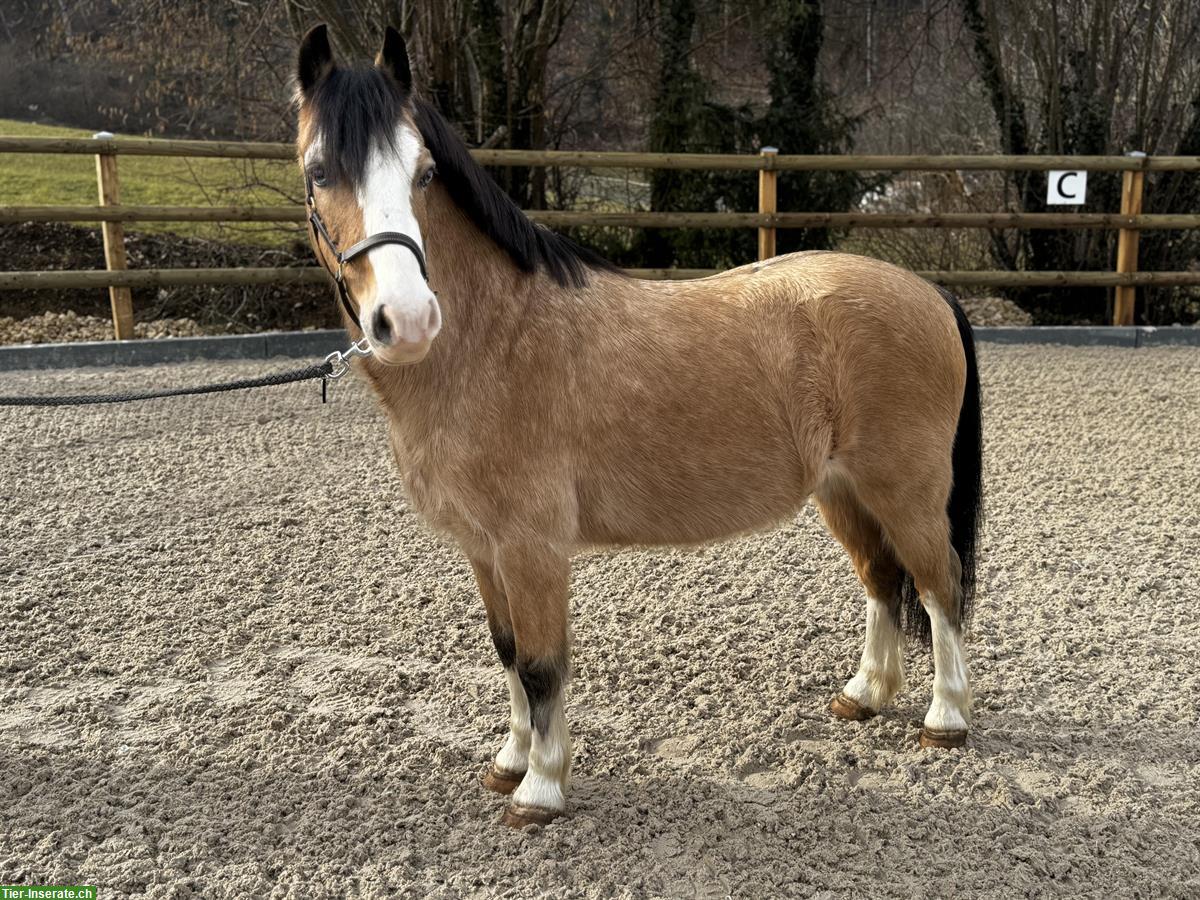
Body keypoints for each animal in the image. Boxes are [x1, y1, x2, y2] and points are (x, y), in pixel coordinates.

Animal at [295, 24, 983, 828]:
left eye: (424, 172)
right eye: (318, 171)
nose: (404, 320)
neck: (494, 340)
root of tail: (930, 292)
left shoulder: (532, 547)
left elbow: (541, 663)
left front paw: (541, 787)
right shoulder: (483, 547)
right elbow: (507, 652)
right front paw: (510, 761)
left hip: (906, 491)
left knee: (939, 586)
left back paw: (946, 719)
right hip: (843, 492)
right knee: (883, 579)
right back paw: (865, 695)